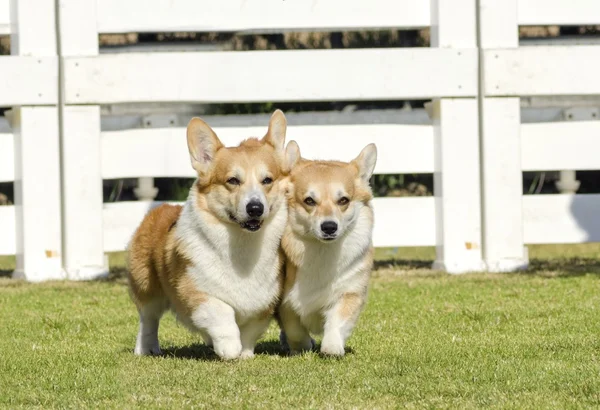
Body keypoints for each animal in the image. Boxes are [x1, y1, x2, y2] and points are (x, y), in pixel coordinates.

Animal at [128, 109, 290, 358]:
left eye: (267, 180)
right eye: (232, 180)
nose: (255, 208)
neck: (243, 245)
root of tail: (160, 208)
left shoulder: (264, 303)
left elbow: (249, 331)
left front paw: (244, 353)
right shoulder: (196, 292)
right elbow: (222, 313)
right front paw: (229, 348)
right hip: (146, 285)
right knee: (148, 319)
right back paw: (147, 348)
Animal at [276, 143, 376, 358]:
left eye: (343, 200)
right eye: (309, 201)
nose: (329, 227)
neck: (322, 250)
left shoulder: (349, 293)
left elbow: (337, 322)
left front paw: (332, 348)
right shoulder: (285, 303)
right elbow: (295, 329)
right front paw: (303, 346)